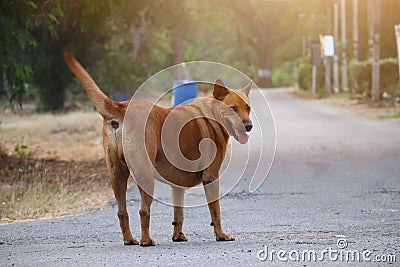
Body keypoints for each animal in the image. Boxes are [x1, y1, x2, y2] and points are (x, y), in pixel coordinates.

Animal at [64, 50, 253, 247]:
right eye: (232, 108)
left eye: (248, 108)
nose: (249, 126)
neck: (212, 114)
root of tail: (120, 107)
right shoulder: (211, 177)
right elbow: (216, 211)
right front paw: (221, 235)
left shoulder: (177, 186)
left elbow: (179, 214)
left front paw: (178, 236)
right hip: (144, 174)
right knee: (143, 211)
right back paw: (146, 240)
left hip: (116, 175)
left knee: (122, 212)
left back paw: (130, 239)